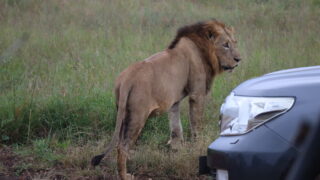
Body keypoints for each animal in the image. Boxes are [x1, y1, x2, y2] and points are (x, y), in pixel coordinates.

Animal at [91, 19, 241, 179]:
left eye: (234, 42)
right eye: (225, 45)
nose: (238, 59)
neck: (203, 50)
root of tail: (126, 79)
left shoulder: (174, 101)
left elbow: (176, 127)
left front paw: (176, 148)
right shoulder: (197, 94)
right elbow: (196, 125)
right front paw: (198, 146)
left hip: (123, 112)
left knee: (119, 141)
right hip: (137, 115)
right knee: (122, 146)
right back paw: (125, 175)